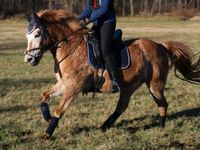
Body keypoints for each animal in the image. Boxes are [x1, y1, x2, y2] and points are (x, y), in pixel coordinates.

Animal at [23, 9, 200, 139]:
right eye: (27, 35)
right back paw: (104, 126)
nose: (29, 59)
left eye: (37, 34)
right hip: (129, 86)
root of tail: (160, 45)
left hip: (155, 84)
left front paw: (47, 134)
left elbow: (59, 110)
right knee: (122, 107)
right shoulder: (63, 85)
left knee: (162, 104)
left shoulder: (74, 87)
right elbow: (43, 96)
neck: (71, 48)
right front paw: (47, 118)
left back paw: (161, 128)